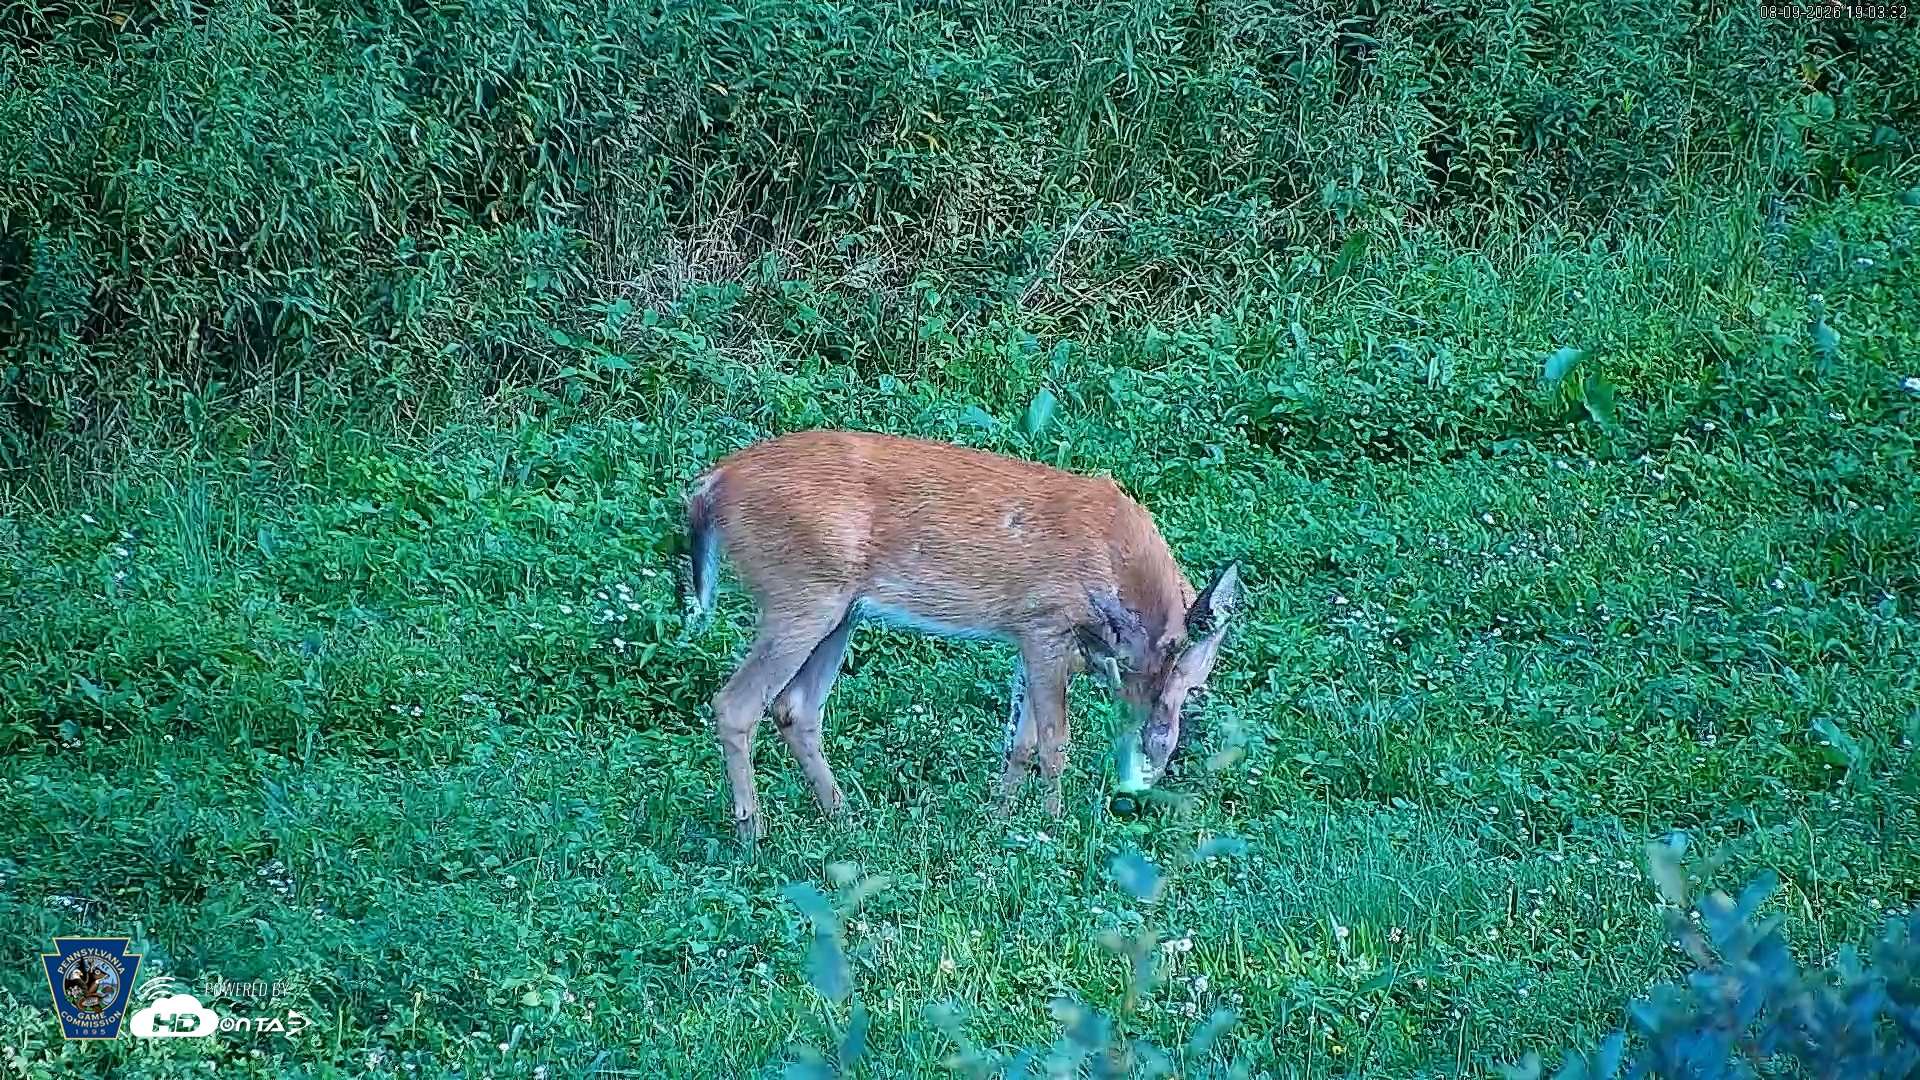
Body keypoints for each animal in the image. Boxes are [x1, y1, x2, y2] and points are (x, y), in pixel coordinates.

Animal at [682, 429, 1241, 842]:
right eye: (1195, 688)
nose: (1156, 767)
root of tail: (711, 485)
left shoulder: (1026, 637)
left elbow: (1020, 739)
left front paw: (997, 820)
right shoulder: (1046, 624)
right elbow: (1055, 739)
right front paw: (1054, 829)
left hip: (840, 611)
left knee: (794, 709)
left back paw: (844, 816)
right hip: (800, 595)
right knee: (736, 704)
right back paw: (754, 834)